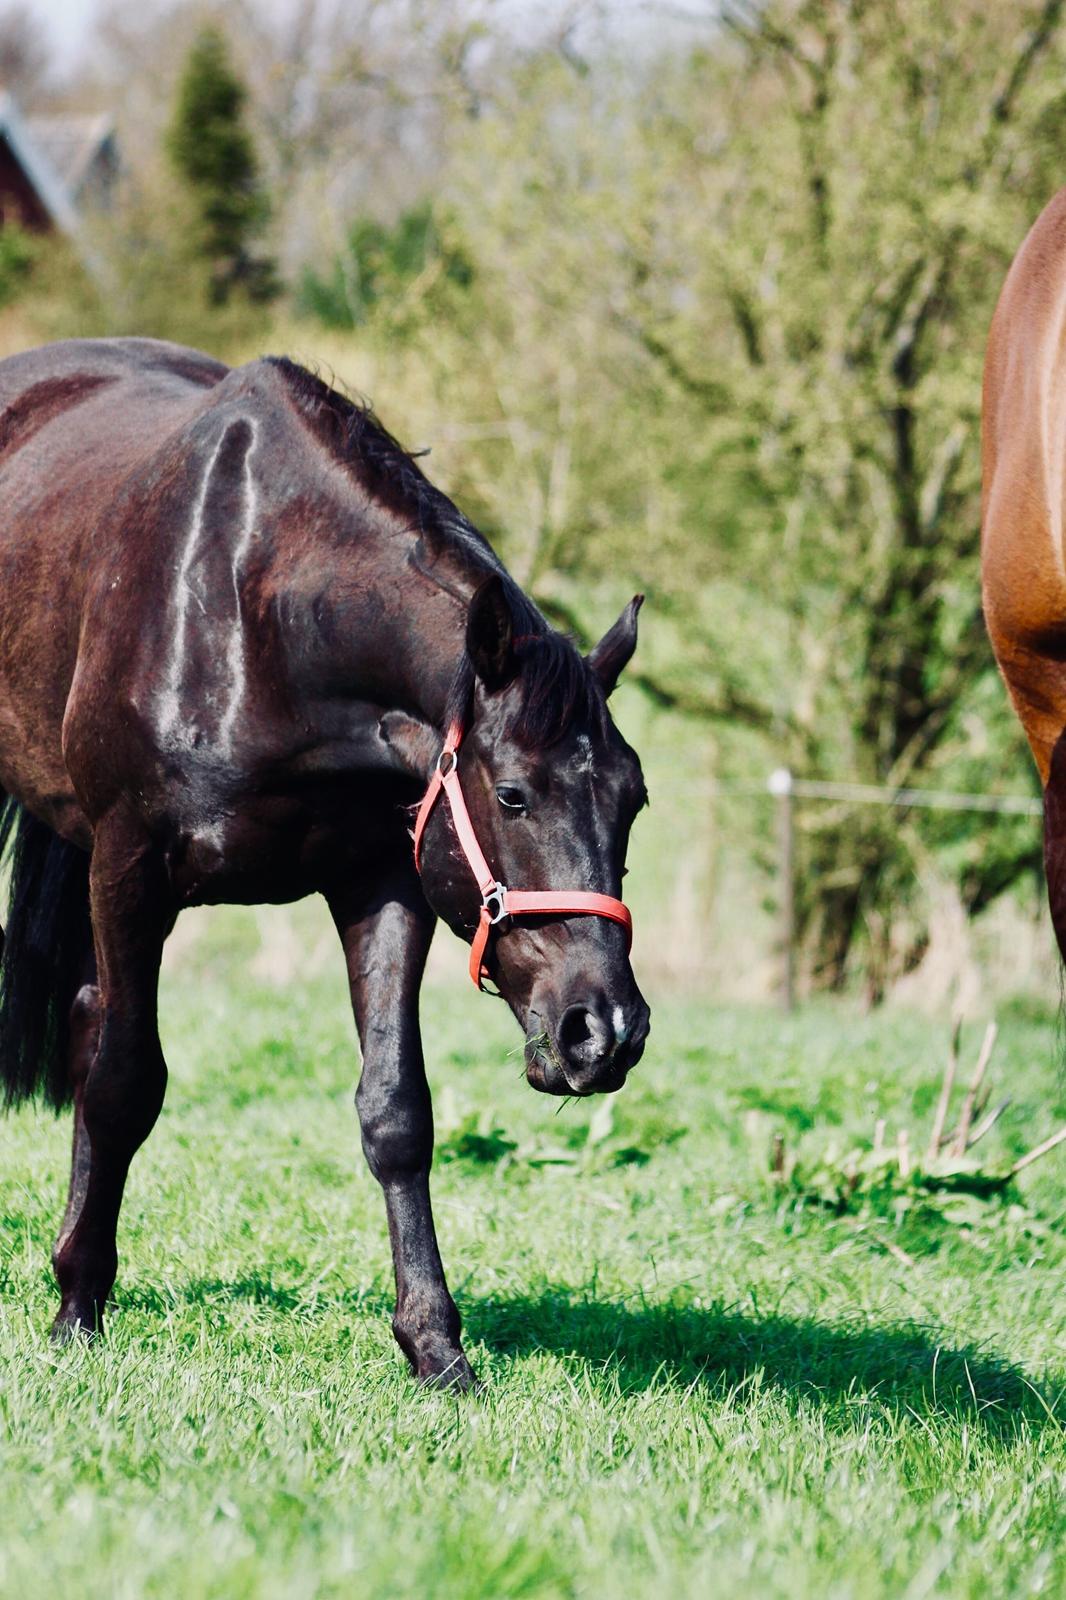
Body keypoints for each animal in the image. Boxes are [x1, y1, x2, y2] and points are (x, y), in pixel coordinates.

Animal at [0, 337, 646, 1388]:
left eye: (634, 800)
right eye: (513, 794)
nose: (607, 1031)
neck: (257, 611)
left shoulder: (384, 885)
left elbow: (397, 1113)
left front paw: (435, 1345)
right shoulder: (131, 866)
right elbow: (127, 1082)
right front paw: (76, 1314)